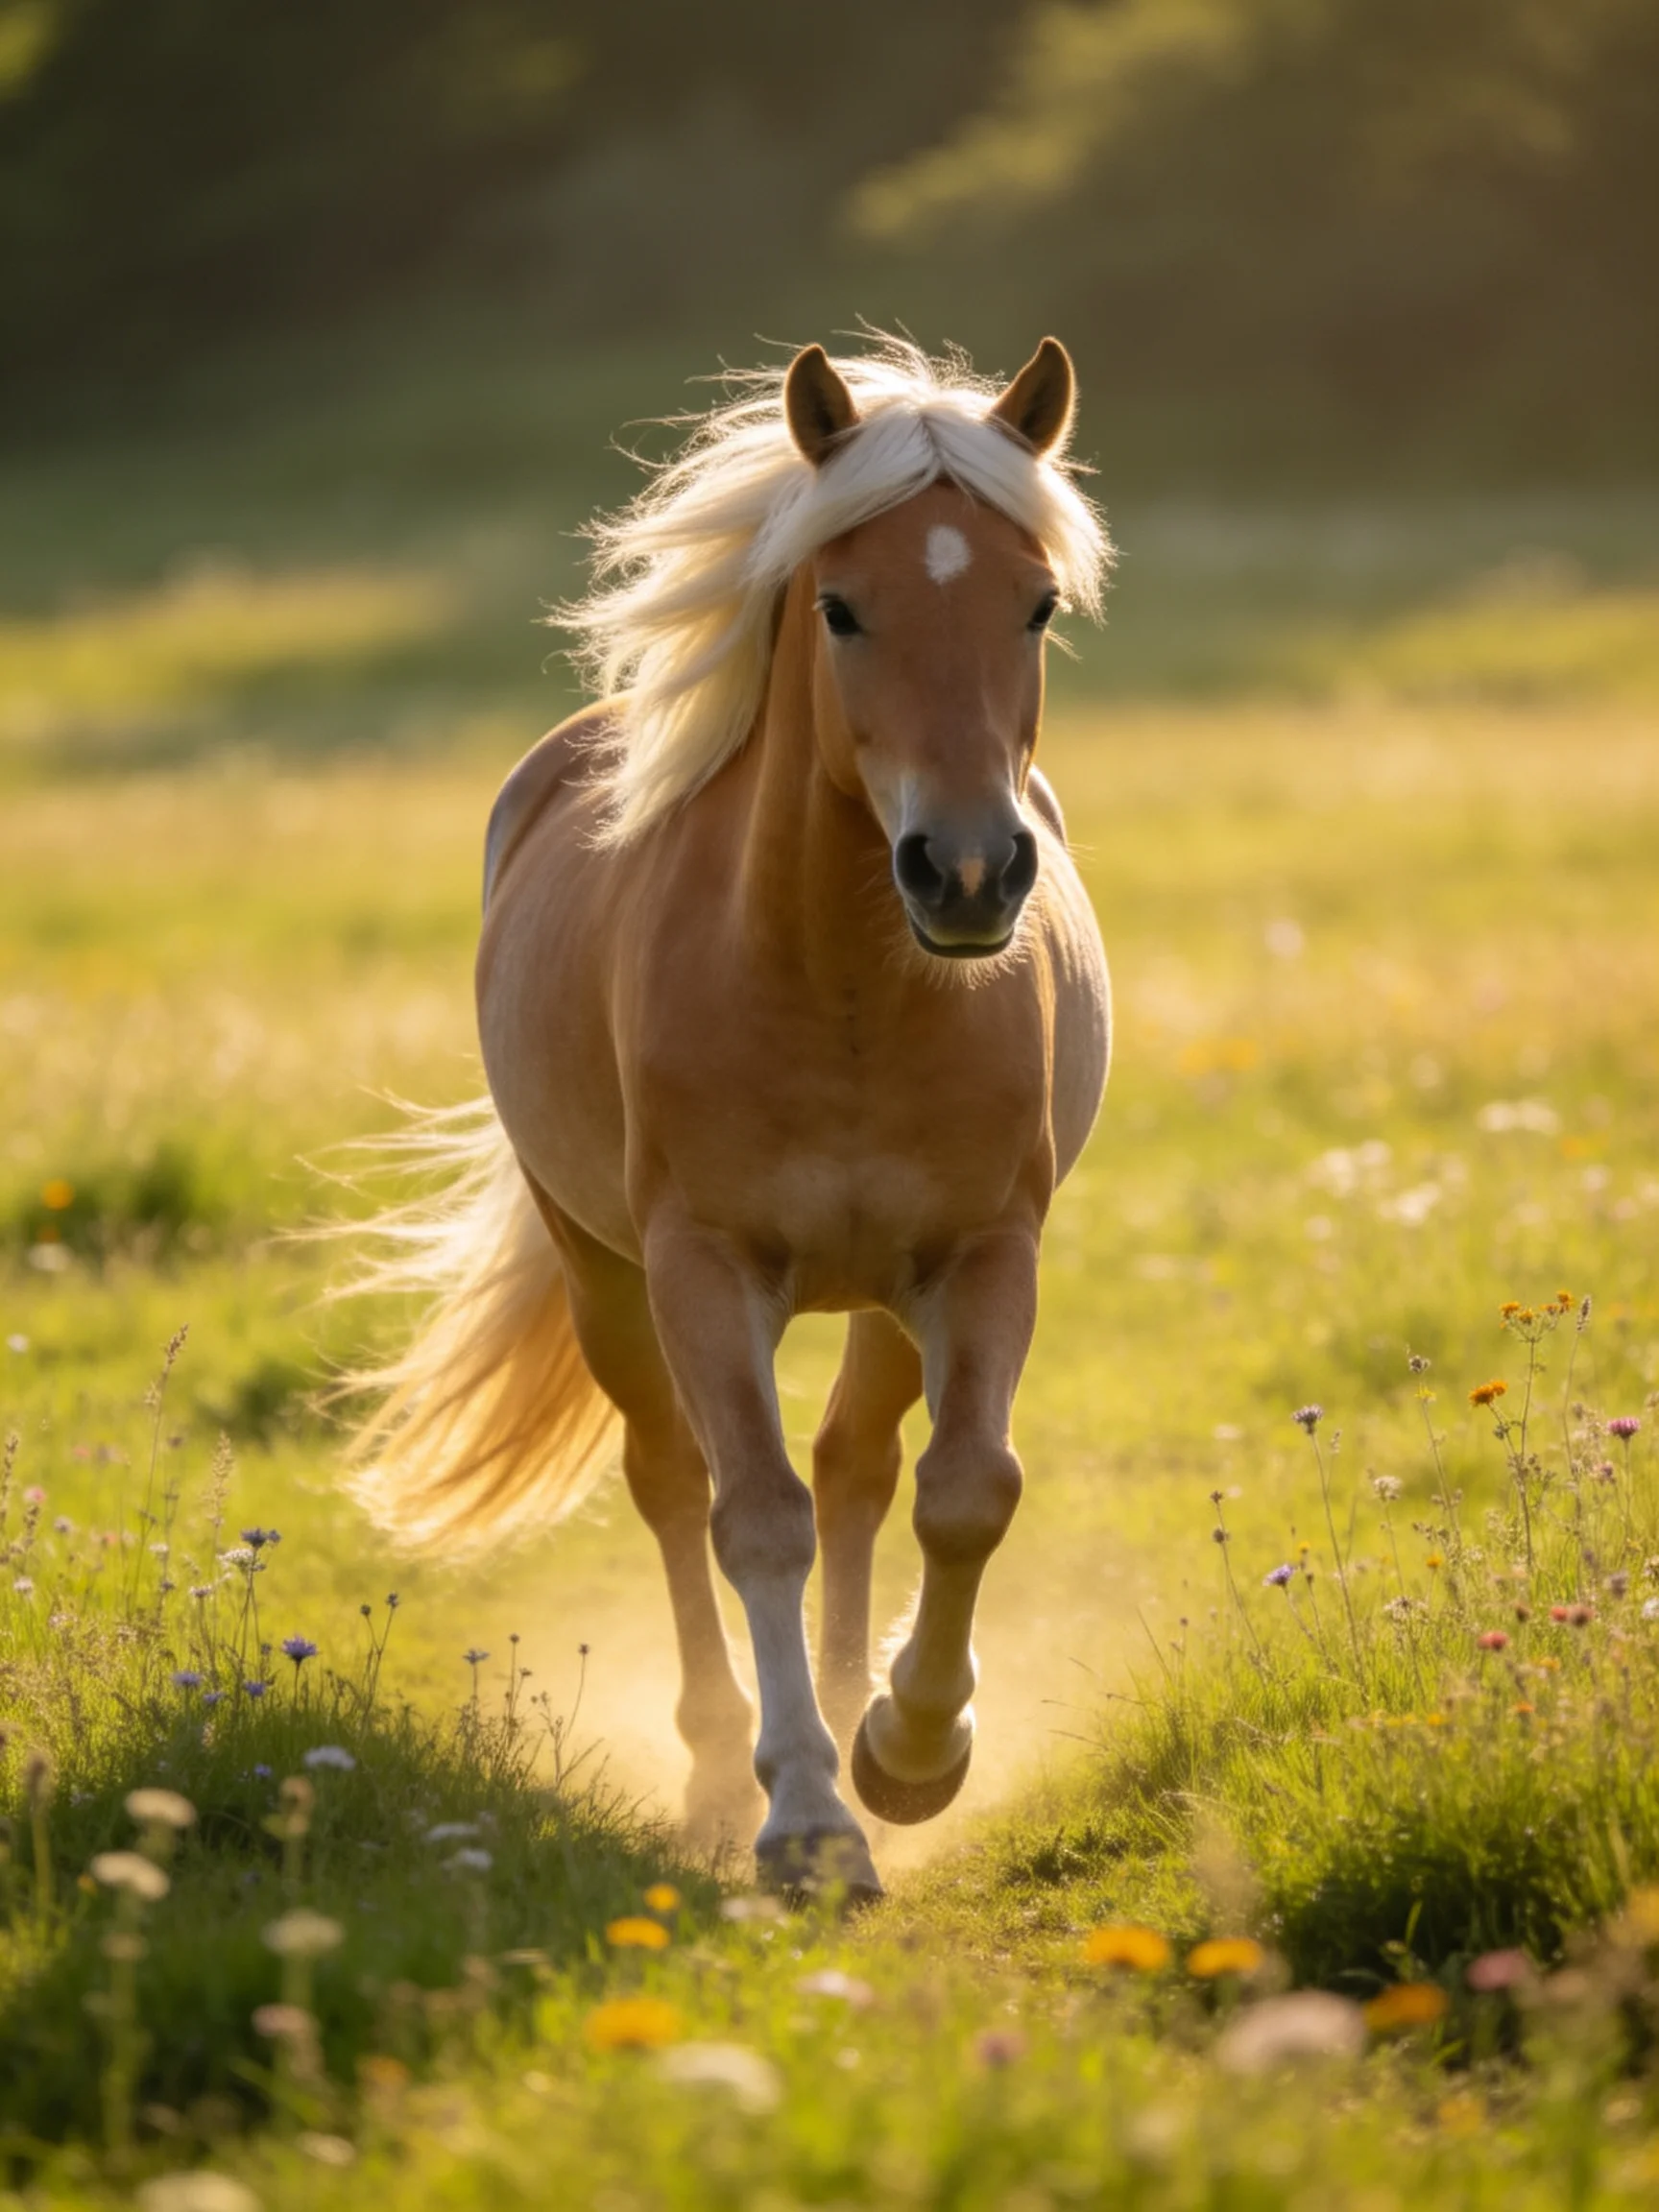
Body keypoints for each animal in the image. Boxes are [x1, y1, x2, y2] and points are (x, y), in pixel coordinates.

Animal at [345, 336, 1113, 1901]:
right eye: (841, 607)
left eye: (1038, 603)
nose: (967, 874)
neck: (844, 992)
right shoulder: (702, 1270)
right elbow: (748, 1515)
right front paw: (805, 1817)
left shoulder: (981, 1257)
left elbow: (965, 1489)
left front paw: (909, 1750)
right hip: (602, 1272)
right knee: (670, 1477)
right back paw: (714, 1767)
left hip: (882, 1299)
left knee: (860, 1472)